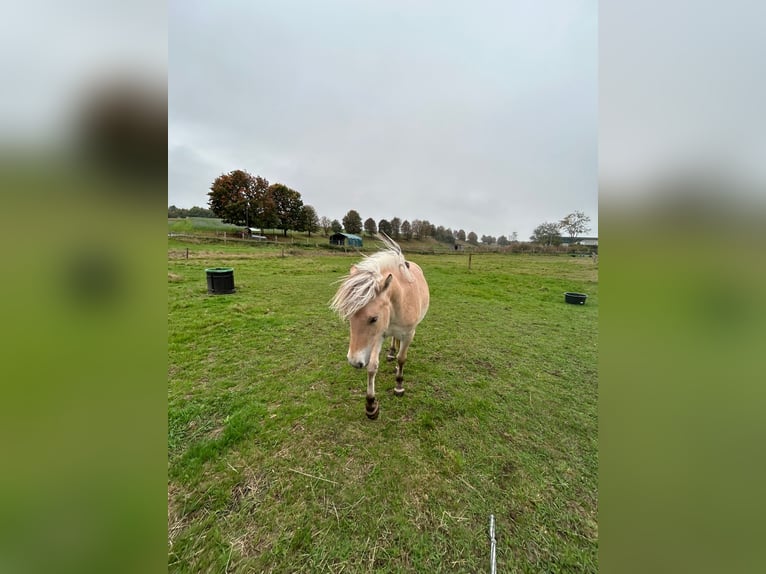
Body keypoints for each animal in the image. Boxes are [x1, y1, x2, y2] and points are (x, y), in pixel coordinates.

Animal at [329, 233, 430, 419]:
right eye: (349, 316)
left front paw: (399, 386)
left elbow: (402, 358)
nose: (354, 362)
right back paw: (391, 353)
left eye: (373, 318)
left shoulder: (408, 334)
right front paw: (371, 405)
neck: (400, 301)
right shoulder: (379, 336)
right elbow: (372, 367)